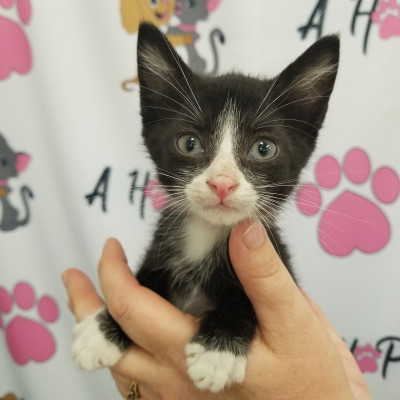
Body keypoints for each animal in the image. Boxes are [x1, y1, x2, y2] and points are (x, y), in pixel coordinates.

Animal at [72, 23, 339, 392]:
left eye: (263, 148)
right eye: (189, 143)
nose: (222, 183)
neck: (207, 234)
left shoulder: (280, 261)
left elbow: (245, 298)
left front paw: (219, 352)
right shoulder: (162, 252)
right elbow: (143, 283)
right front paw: (101, 331)